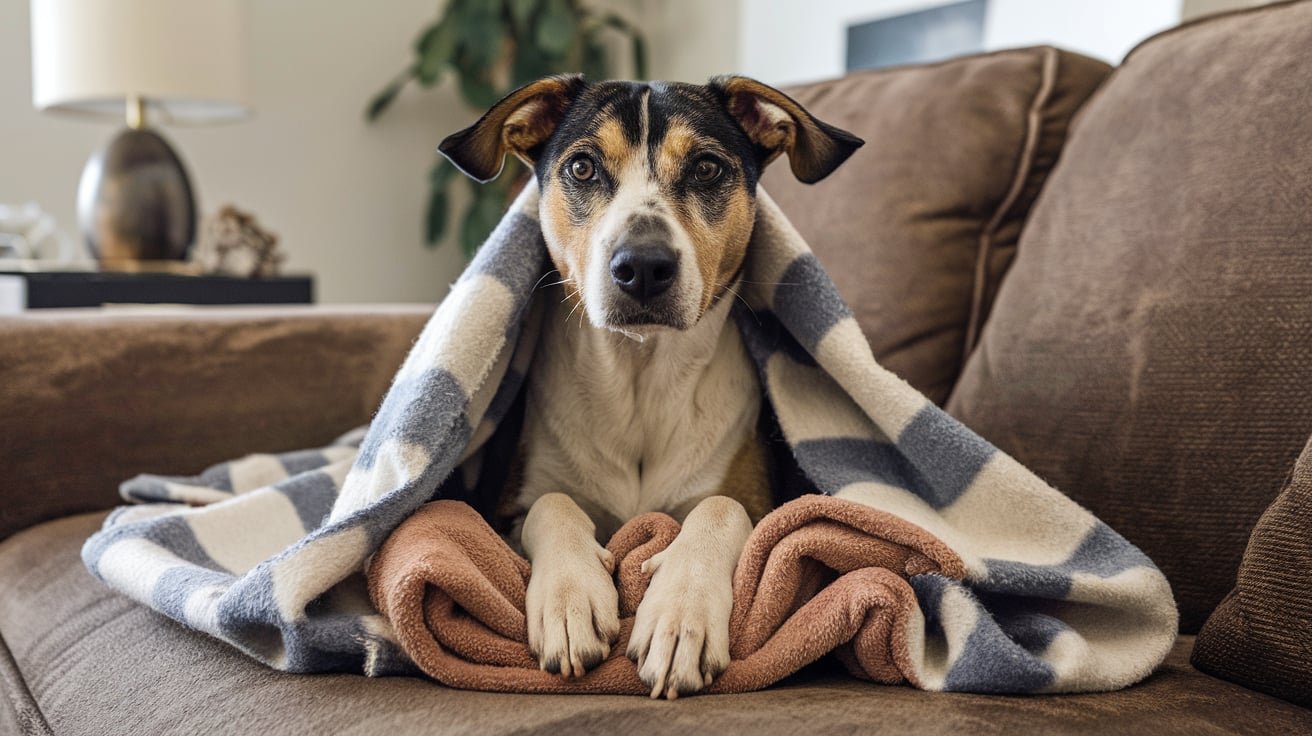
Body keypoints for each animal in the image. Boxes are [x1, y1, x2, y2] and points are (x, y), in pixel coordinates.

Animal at [435, 76, 860, 697]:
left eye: (706, 168)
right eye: (582, 167)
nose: (642, 266)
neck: (639, 379)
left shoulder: (759, 503)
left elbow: (721, 508)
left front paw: (681, 615)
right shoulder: (507, 508)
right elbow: (553, 502)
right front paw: (569, 600)